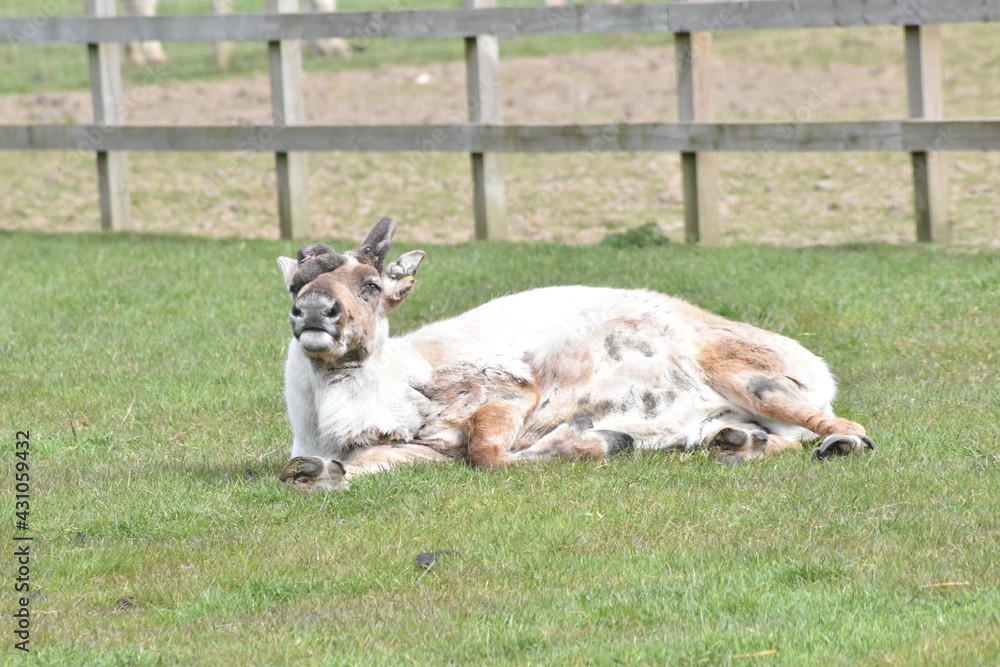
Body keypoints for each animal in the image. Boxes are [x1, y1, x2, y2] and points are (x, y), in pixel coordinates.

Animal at [277, 218, 873, 493]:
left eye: (372, 284)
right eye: (294, 286)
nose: (314, 313)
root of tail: (817, 368)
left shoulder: (509, 391)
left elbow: (488, 454)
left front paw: (603, 438)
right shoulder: (417, 449)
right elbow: (313, 469)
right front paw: (319, 471)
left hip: (745, 375)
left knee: (849, 426)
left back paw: (839, 445)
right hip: (730, 415)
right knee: (771, 440)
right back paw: (736, 444)